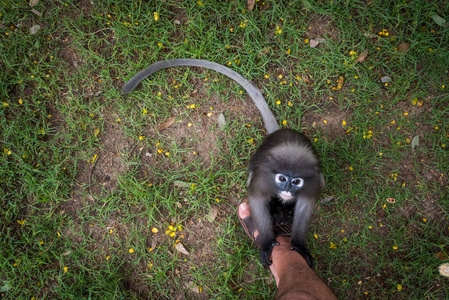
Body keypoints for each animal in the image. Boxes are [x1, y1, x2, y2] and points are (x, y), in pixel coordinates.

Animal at [121, 58, 322, 268]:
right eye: (282, 178)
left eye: (296, 181)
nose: (288, 190)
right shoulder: (264, 178)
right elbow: (256, 198)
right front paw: (267, 241)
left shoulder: (313, 181)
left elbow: (304, 205)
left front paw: (298, 245)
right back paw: (275, 211)